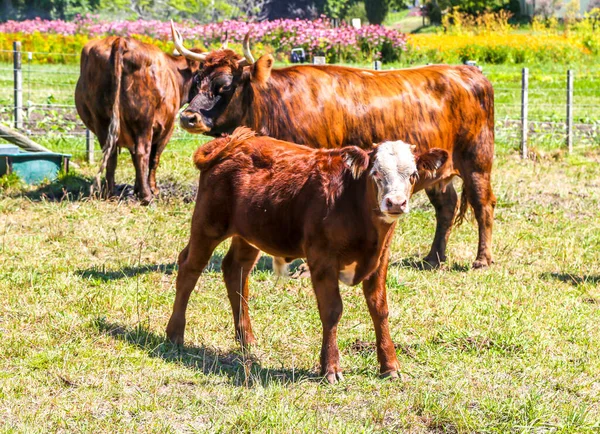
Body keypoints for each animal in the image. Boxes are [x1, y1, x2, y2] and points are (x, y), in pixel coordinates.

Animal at [74, 36, 205, 203]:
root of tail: (121, 41)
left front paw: (137, 187)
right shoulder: (166, 129)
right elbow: (153, 159)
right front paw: (152, 188)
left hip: (102, 122)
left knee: (111, 155)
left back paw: (111, 193)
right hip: (144, 122)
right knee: (143, 153)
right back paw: (146, 197)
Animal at [164, 126, 446, 384]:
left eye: (413, 174)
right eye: (375, 173)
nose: (395, 203)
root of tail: (231, 140)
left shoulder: (380, 259)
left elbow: (379, 309)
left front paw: (389, 365)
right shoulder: (322, 259)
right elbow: (332, 310)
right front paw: (330, 368)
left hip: (250, 232)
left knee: (235, 270)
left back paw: (247, 339)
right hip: (208, 224)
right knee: (190, 267)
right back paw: (175, 334)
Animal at [170, 23, 496, 270]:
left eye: (224, 86)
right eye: (196, 81)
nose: (188, 117)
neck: (277, 105)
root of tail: (469, 72)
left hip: (476, 161)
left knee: (484, 204)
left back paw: (482, 259)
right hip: (438, 170)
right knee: (446, 207)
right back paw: (434, 258)